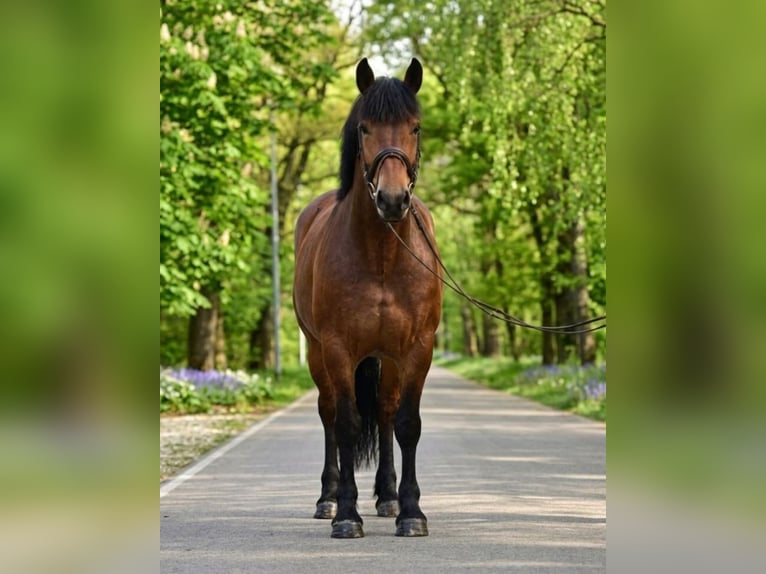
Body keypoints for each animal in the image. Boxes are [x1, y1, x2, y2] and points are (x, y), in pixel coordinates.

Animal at [292, 57, 443, 539]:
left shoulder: (417, 348)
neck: (380, 254)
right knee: (329, 414)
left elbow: (407, 424)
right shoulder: (338, 349)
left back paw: (389, 496)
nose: (393, 200)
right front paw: (346, 514)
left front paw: (411, 512)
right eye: (364, 127)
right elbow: (345, 424)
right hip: (317, 353)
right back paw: (327, 498)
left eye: (415, 127)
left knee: (386, 413)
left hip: (388, 358)